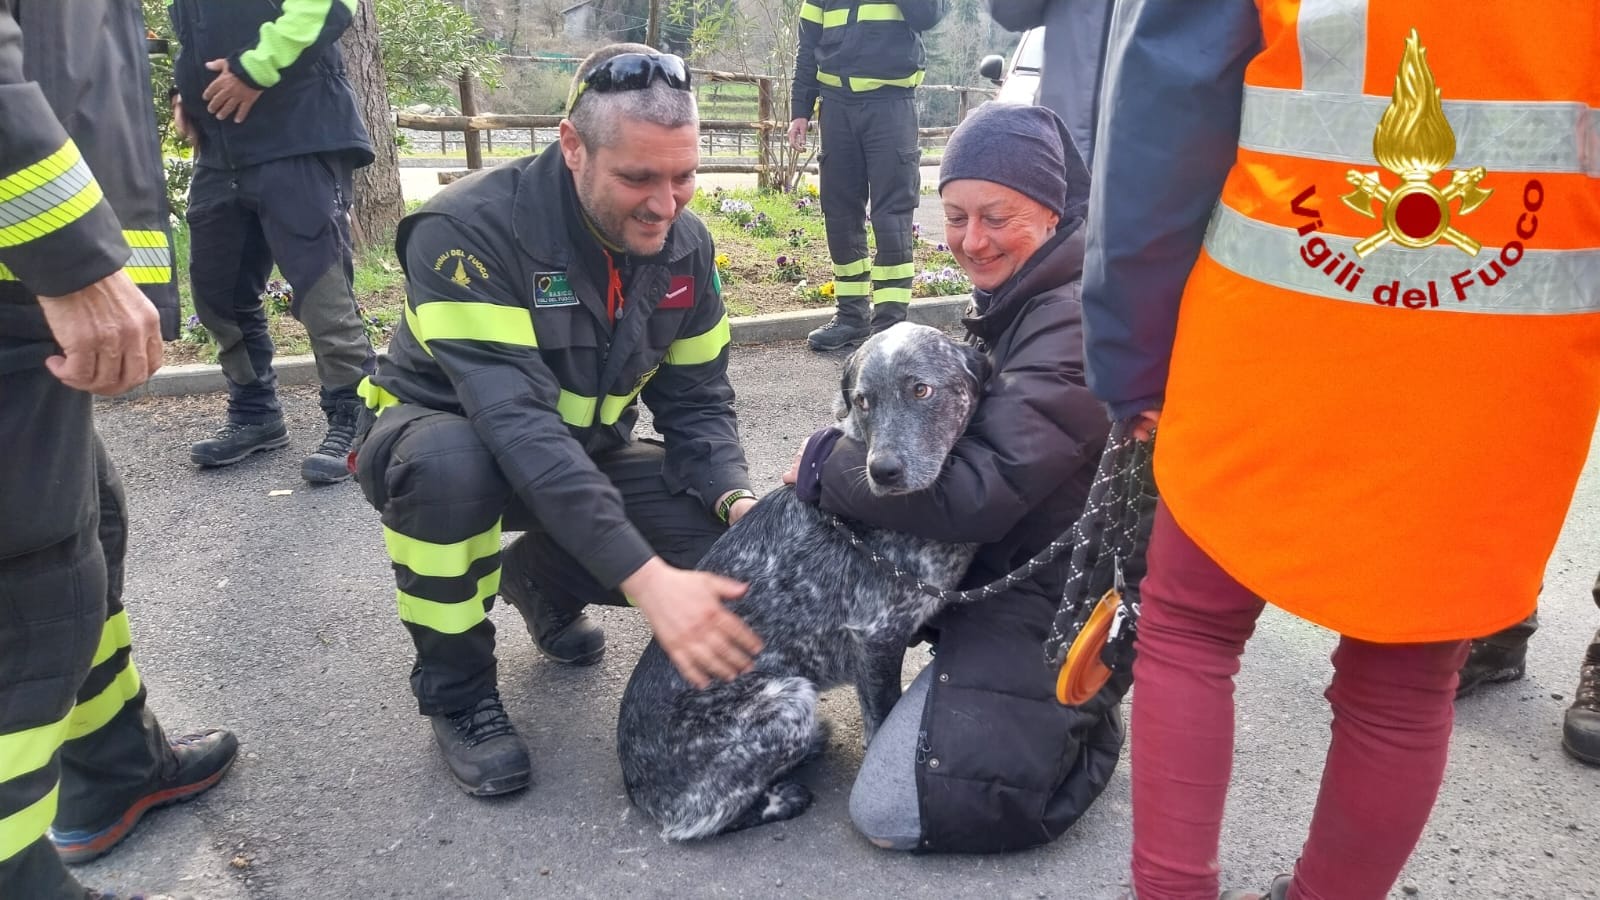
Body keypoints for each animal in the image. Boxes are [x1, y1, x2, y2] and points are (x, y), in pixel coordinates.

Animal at [617, 320, 992, 832]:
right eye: (863, 400)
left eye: (921, 389)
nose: (882, 472)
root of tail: (635, 783)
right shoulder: (876, 637)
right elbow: (881, 717)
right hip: (790, 697)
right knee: (701, 820)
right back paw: (783, 797)